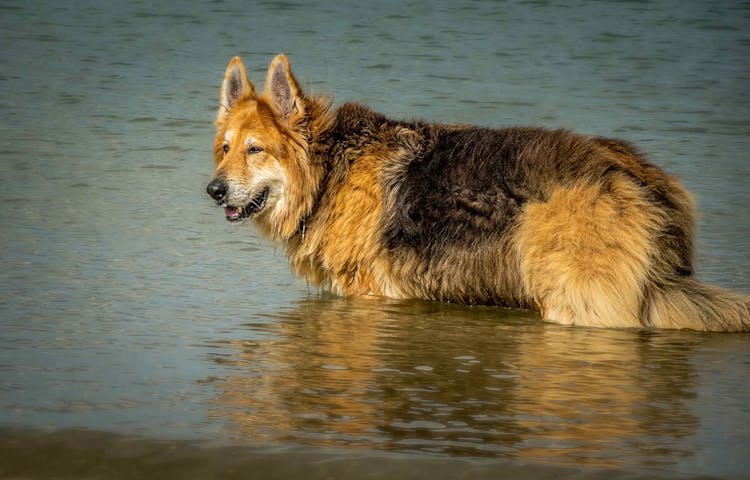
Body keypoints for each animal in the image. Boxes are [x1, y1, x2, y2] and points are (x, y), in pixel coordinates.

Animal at [206, 52, 750, 330]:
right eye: (225, 148)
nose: (212, 189)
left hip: (578, 305)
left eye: (255, 150)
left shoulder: (369, 295)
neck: (328, 170)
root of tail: (635, 174)